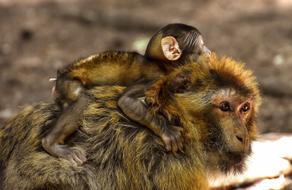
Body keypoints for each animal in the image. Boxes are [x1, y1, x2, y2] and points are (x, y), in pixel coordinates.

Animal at [42, 23, 210, 164]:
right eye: (202, 46)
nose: (208, 52)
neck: (163, 66)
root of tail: (61, 74)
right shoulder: (154, 78)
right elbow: (126, 100)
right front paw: (167, 131)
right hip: (66, 82)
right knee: (82, 98)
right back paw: (50, 143)